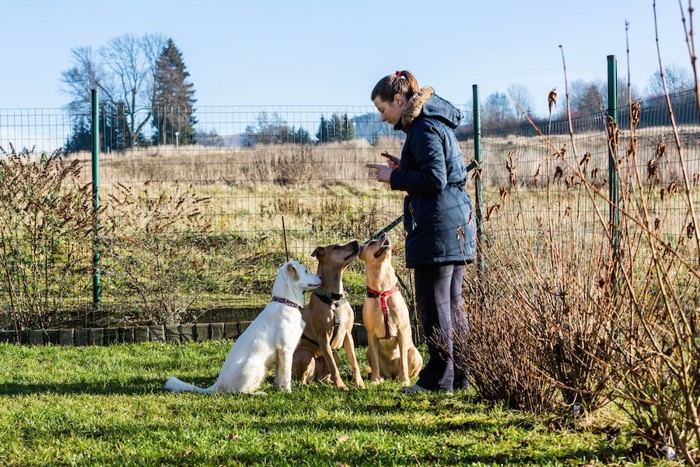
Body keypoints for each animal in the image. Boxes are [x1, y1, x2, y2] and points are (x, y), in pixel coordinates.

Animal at [164, 262, 320, 396]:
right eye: (306, 270)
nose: (321, 276)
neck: (286, 302)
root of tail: (218, 384)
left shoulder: (279, 355)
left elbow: (279, 376)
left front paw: (279, 390)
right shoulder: (285, 350)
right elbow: (286, 376)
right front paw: (288, 392)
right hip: (255, 365)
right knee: (237, 392)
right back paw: (258, 393)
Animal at [292, 241, 366, 392]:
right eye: (336, 247)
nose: (356, 242)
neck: (334, 299)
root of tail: (314, 377)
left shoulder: (348, 334)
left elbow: (354, 362)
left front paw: (359, 383)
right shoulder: (323, 337)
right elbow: (332, 366)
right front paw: (341, 385)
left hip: (335, 355)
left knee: (323, 377)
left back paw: (328, 382)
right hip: (305, 355)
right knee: (301, 380)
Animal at [360, 234, 422, 388]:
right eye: (372, 242)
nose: (384, 234)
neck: (381, 289)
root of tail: (392, 375)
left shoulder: (401, 330)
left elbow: (404, 363)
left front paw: (405, 381)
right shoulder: (371, 333)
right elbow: (375, 362)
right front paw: (375, 380)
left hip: (414, 353)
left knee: (410, 368)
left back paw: (406, 378)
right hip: (368, 350)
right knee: (377, 366)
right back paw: (381, 378)